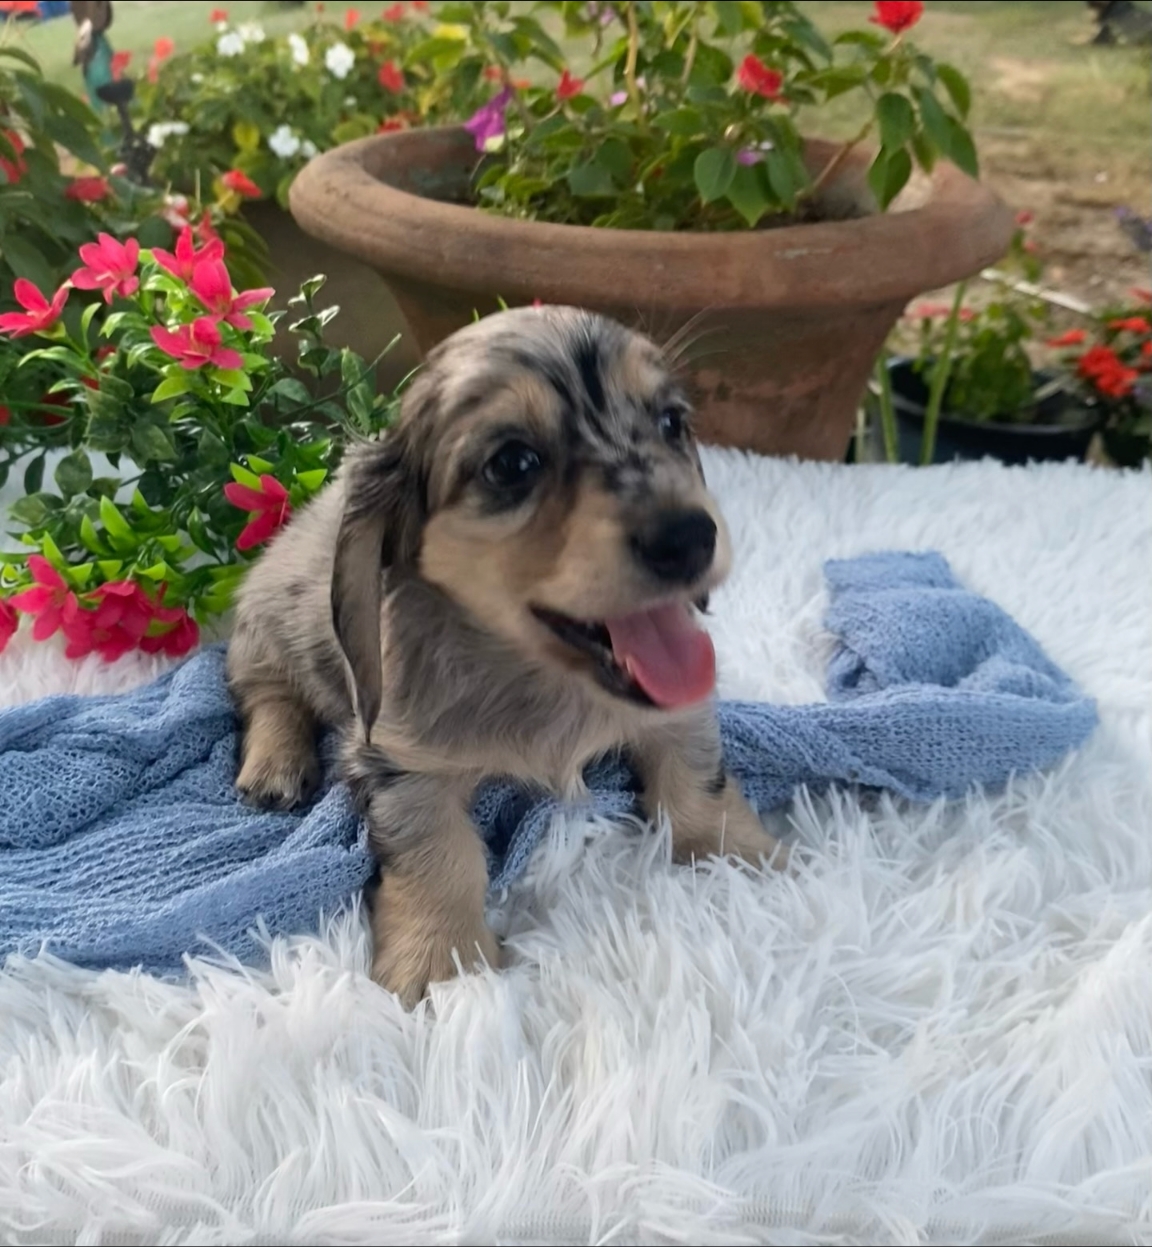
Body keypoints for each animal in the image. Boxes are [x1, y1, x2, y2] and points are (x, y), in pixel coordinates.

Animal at [229, 306, 787, 1007]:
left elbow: (694, 775)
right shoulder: (399, 760)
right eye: (513, 463)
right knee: (267, 692)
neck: (543, 678)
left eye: (671, 423)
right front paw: (440, 960)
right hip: (266, 627)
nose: (689, 537)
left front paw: (736, 852)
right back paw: (275, 763)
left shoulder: (680, 707)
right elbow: (439, 851)